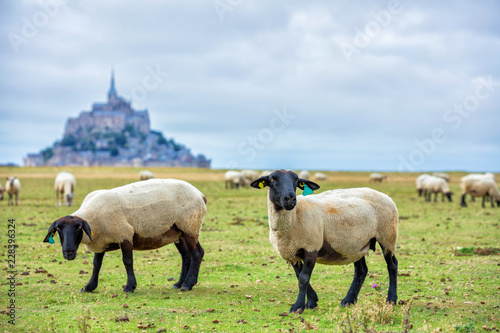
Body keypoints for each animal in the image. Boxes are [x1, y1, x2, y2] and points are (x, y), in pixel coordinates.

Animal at [43, 178, 207, 292]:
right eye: (58, 230)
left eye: (78, 228)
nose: (68, 252)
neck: (92, 216)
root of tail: (200, 194)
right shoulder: (101, 242)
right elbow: (96, 265)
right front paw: (89, 287)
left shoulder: (125, 234)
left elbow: (127, 262)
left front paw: (129, 287)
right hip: (179, 232)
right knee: (186, 256)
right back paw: (179, 283)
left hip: (190, 226)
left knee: (197, 254)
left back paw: (188, 284)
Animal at [250, 170, 398, 312]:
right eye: (272, 180)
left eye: (296, 180)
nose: (290, 198)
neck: (294, 217)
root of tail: (384, 195)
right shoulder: (292, 253)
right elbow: (299, 275)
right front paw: (312, 301)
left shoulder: (311, 247)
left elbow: (303, 278)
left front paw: (298, 306)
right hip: (356, 244)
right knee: (361, 270)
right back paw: (348, 300)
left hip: (387, 236)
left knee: (392, 265)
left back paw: (391, 299)